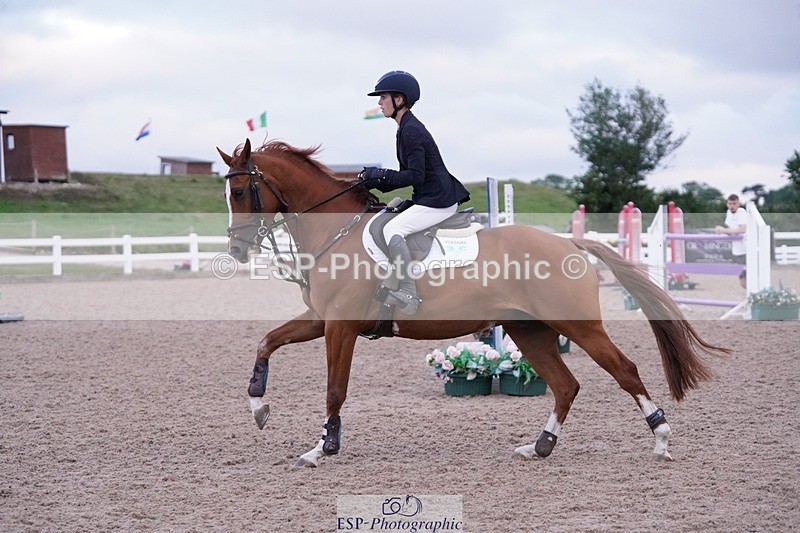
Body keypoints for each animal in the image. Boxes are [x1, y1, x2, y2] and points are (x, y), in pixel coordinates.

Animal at [217, 138, 729, 468]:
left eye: (240, 192)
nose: (237, 250)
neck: (333, 231)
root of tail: (569, 243)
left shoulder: (340, 326)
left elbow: (334, 389)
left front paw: (322, 448)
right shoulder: (321, 319)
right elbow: (267, 341)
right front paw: (259, 408)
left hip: (577, 326)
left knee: (624, 370)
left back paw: (661, 440)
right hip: (529, 330)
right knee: (566, 385)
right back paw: (539, 447)